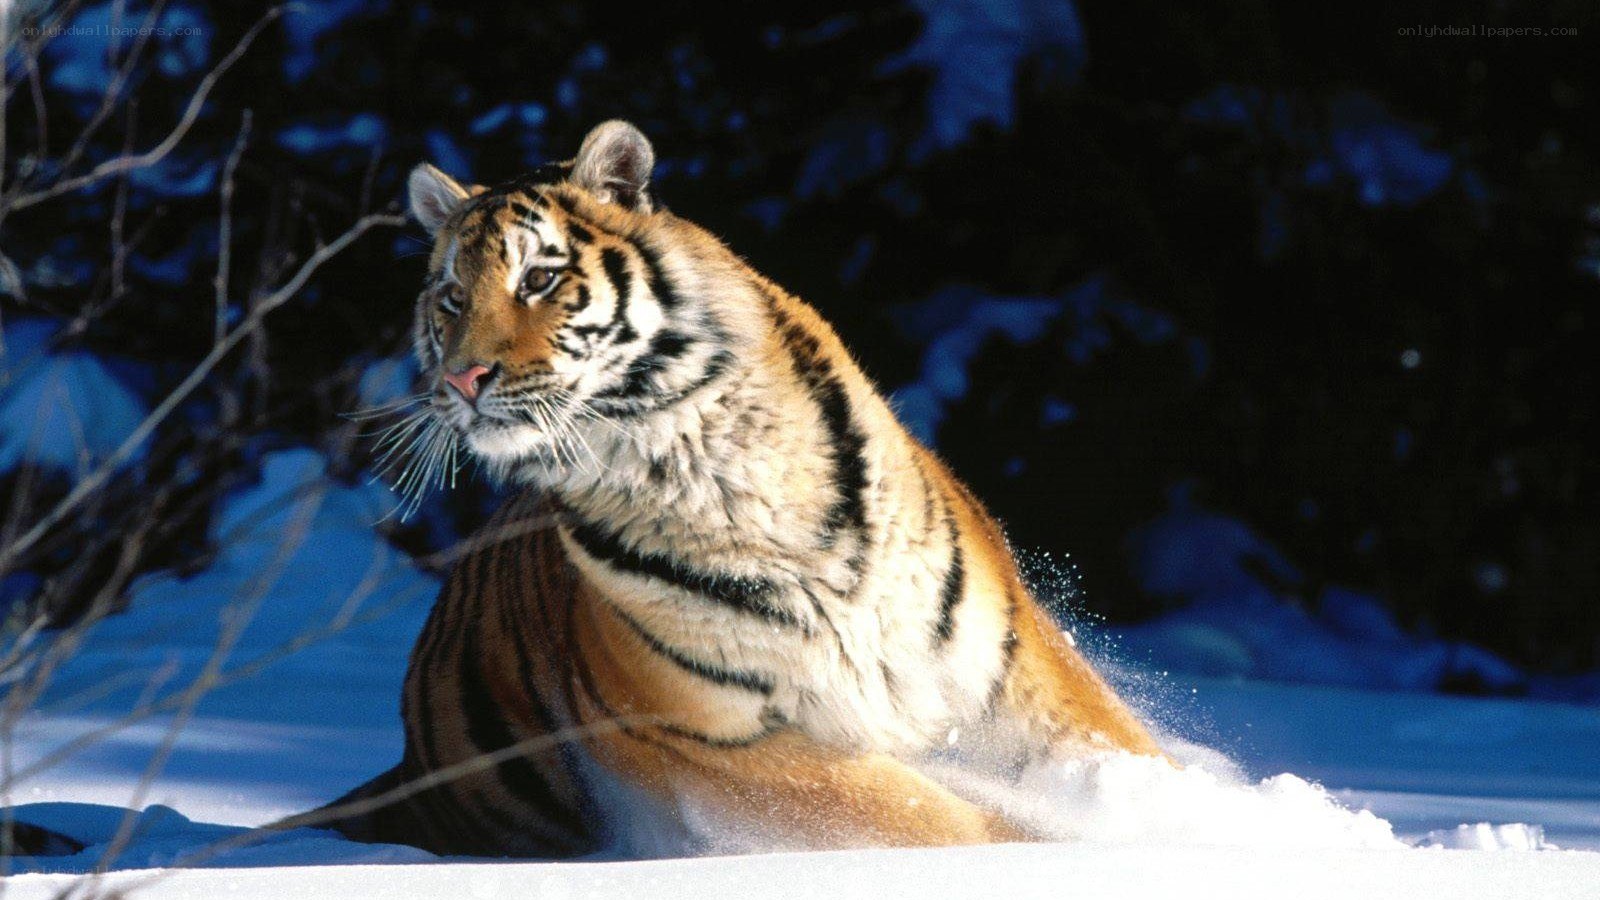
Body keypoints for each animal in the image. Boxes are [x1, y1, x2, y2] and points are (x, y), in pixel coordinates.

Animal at [322, 120, 1166, 857]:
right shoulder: (706, 735)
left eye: (539, 278)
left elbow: (1115, 749)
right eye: (451, 299)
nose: (460, 380)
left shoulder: (1004, 659)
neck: (703, 456)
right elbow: (932, 816)